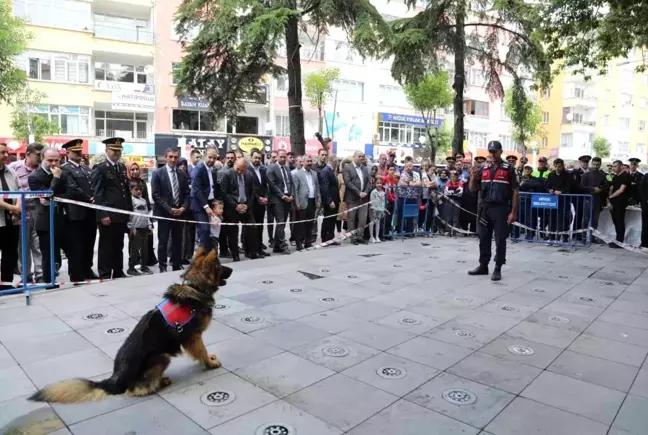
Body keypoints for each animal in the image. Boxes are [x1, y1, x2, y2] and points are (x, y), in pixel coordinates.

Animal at [30, 249, 234, 406]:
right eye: (220, 267)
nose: (232, 267)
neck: (196, 287)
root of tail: (115, 381)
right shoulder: (194, 337)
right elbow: (201, 352)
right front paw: (210, 363)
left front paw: (210, 359)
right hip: (161, 357)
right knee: (136, 390)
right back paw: (160, 383)